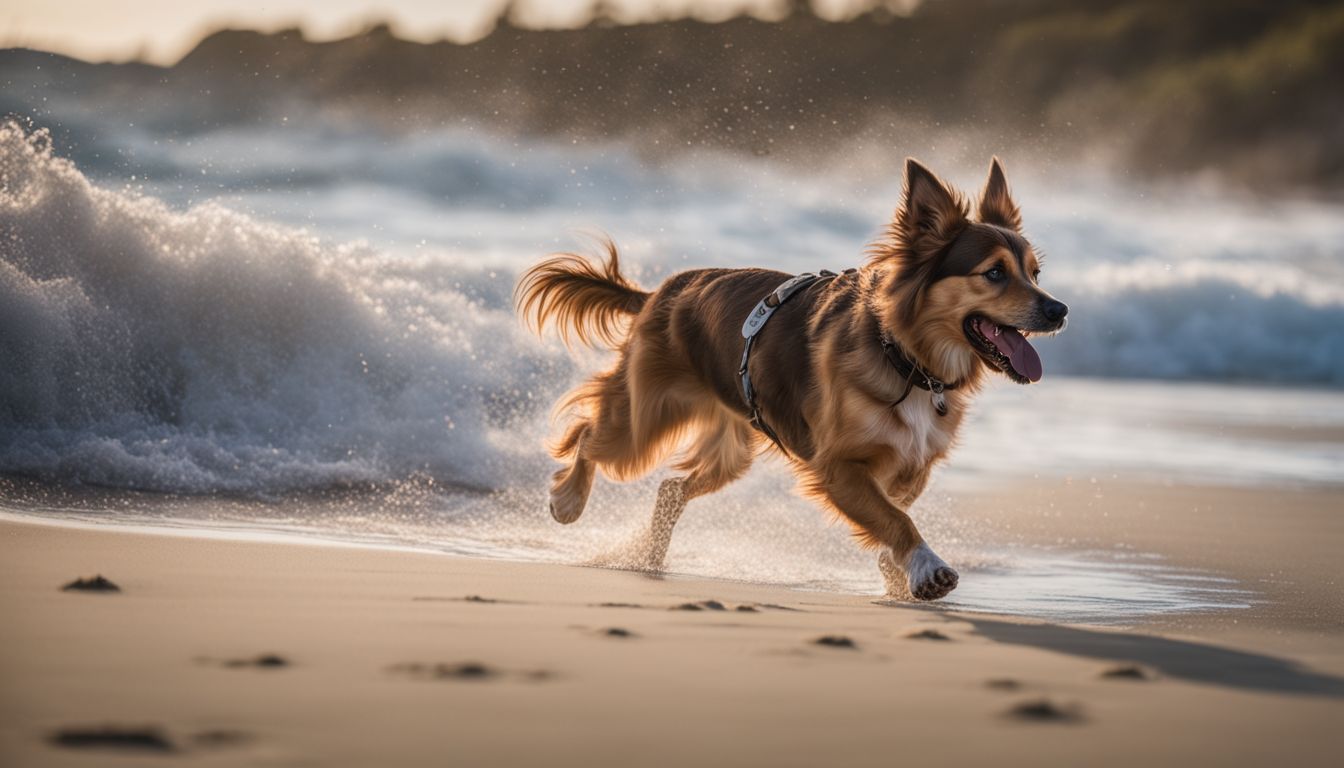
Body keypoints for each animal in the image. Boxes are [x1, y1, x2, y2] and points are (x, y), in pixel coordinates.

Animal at [516, 158, 1069, 599]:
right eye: (994, 273)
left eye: (1035, 273)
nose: (1059, 310)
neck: (906, 359)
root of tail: (659, 292)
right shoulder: (838, 466)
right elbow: (896, 518)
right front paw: (925, 567)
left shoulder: (913, 465)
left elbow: (893, 513)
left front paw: (897, 574)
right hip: (645, 418)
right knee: (590, 435)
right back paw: (568, 500)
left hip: (731, 449)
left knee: (671, 490)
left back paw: (647, 558)